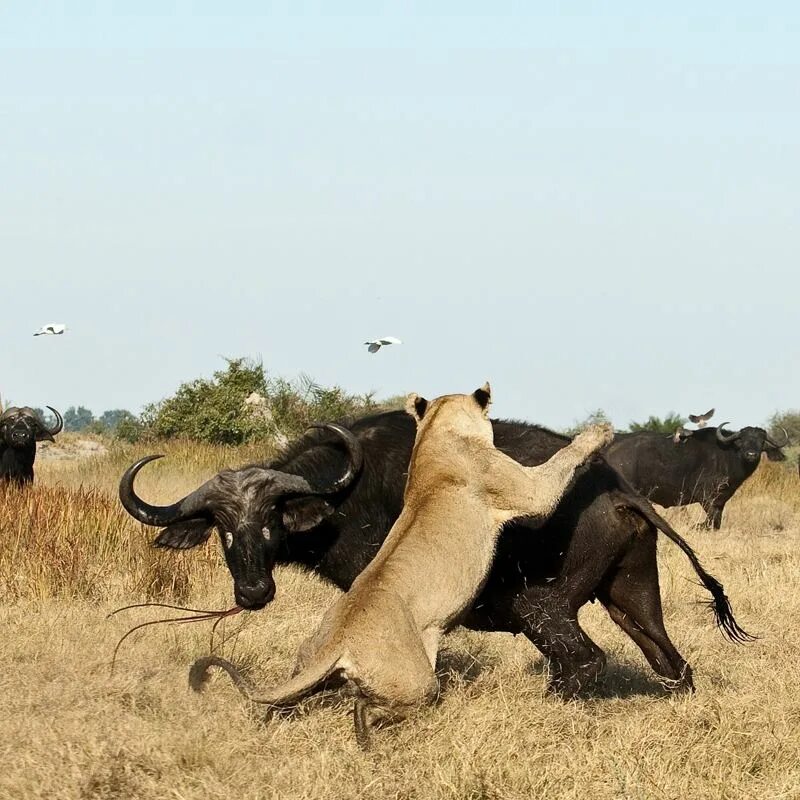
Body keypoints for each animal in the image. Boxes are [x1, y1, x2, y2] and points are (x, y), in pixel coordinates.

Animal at [120, 412, 752, 700]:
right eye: (223, 529)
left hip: (541, 608)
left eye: (272, 519)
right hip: (633, 595)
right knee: (672, 662)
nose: (252, 592)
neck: (341, 495)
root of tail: (619, 491)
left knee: (584, 662)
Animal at [608, 424, 788, 532]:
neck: (728, 455)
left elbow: (716, 522)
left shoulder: (721, 500)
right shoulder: (706, 498)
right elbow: (710, 521)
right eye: (742, 440)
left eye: (761, 440)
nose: (751, 454)